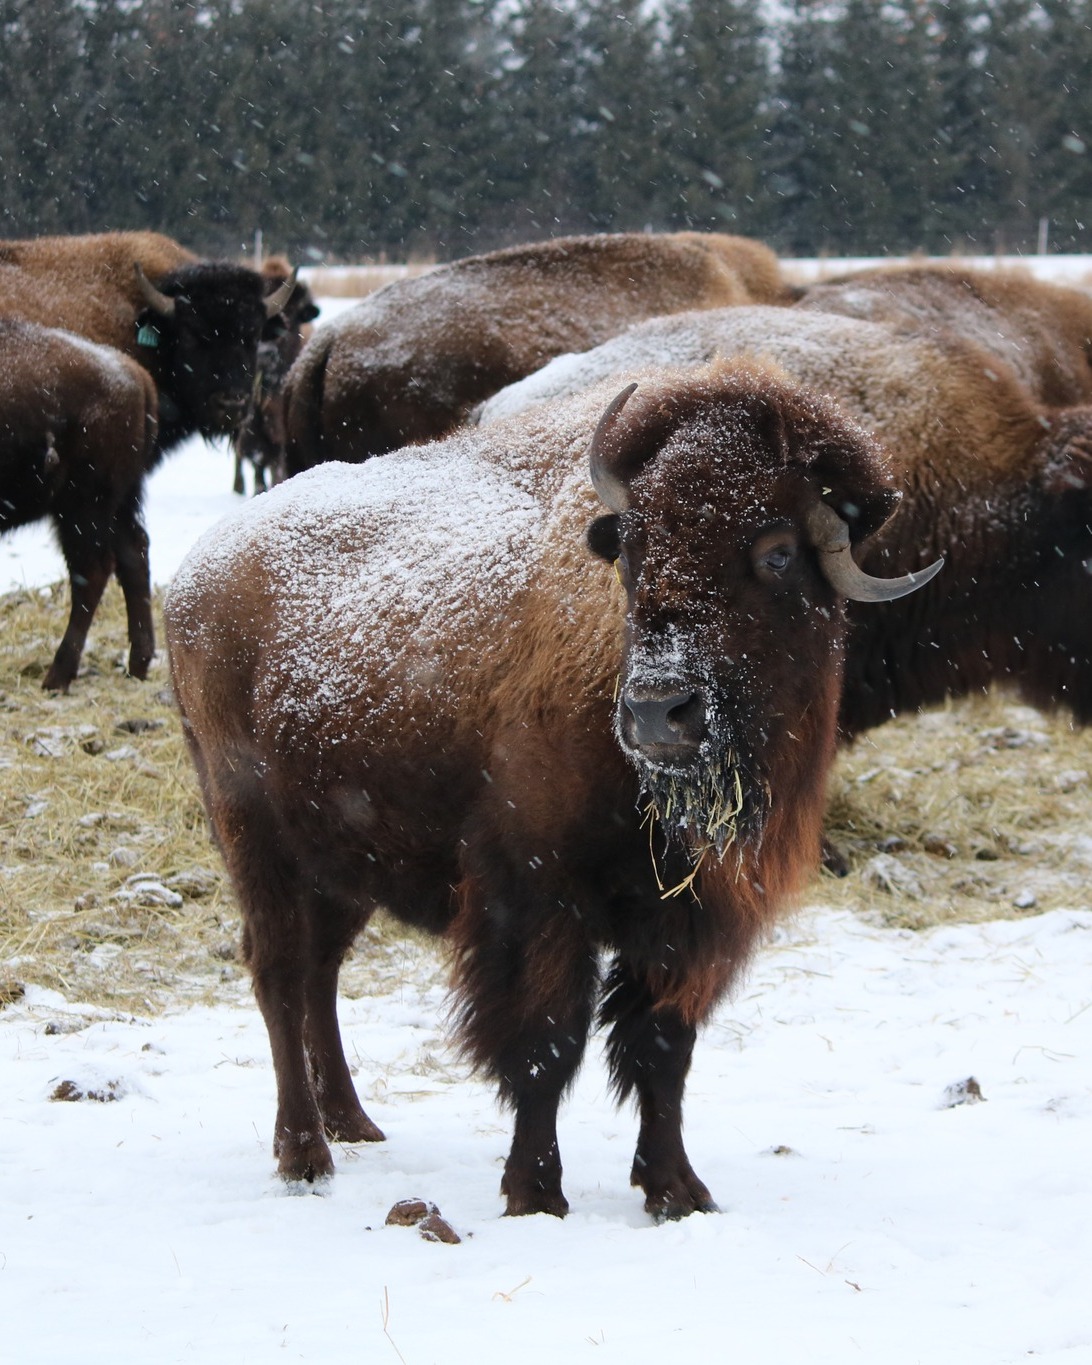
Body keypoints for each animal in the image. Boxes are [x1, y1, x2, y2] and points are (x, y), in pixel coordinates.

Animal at [165, 363, 936, 1219]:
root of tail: (196, 575)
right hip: (252, 832)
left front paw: (676, 1190)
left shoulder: (689, 921)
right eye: (632, 546)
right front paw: (535, 1192)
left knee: (319, 972)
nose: (658, 711)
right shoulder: (536, 896)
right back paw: (305, 1153)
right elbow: (546, 1042)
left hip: (342, 861)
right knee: (277, 969)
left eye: (776, 551)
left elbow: (662, 1050)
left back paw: (353, 1120)